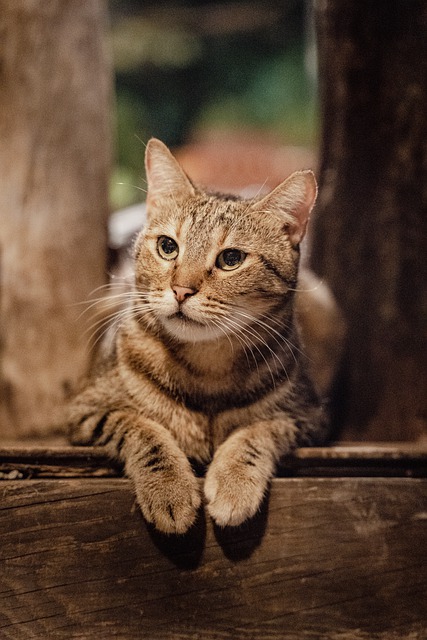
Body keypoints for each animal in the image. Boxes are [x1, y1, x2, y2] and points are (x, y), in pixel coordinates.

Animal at [66, 139, 328, 536]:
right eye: (167, 246)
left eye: (231, 258)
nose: (181, 290)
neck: (206, 365)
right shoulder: (86, 411)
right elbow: (141, 428)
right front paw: (169, 488)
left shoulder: (308, 419)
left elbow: (258, 431)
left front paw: (234, 484)